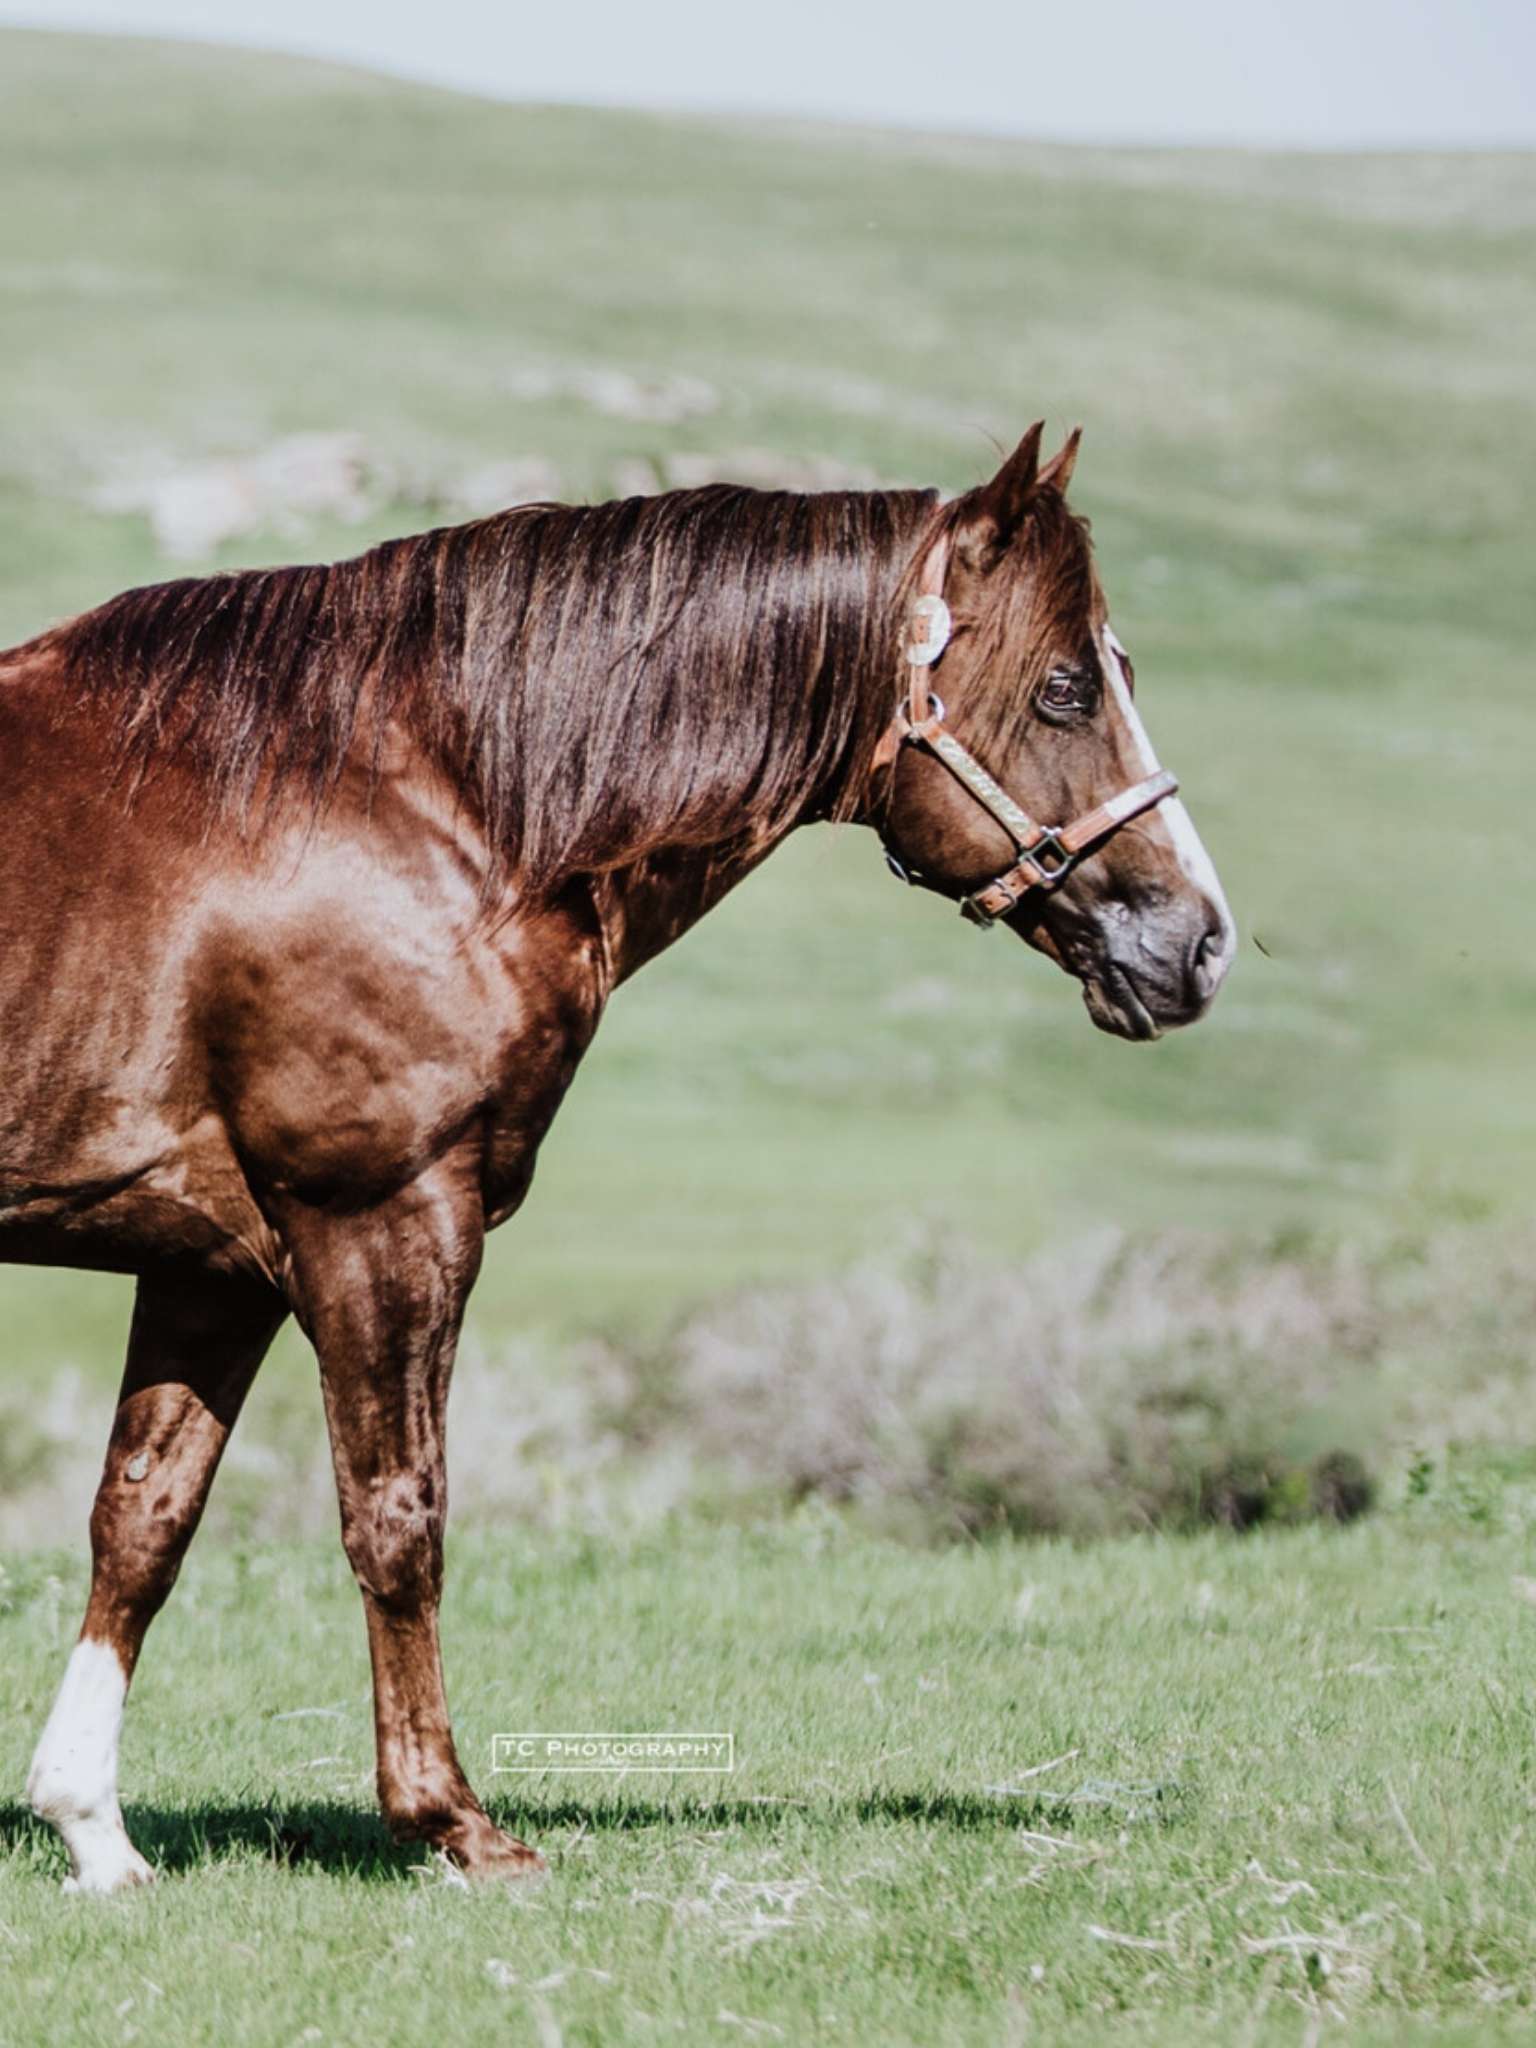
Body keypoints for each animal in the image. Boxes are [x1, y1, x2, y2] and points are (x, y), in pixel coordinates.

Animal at [4, 421, 1234, 1891]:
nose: (1199, 938)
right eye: (1062, 688)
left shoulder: (218, 1263)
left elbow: (143, 1519)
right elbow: (398, 1516)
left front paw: (91, 1828)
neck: (418, 798)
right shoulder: (380, 1217)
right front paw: (452, 1822)